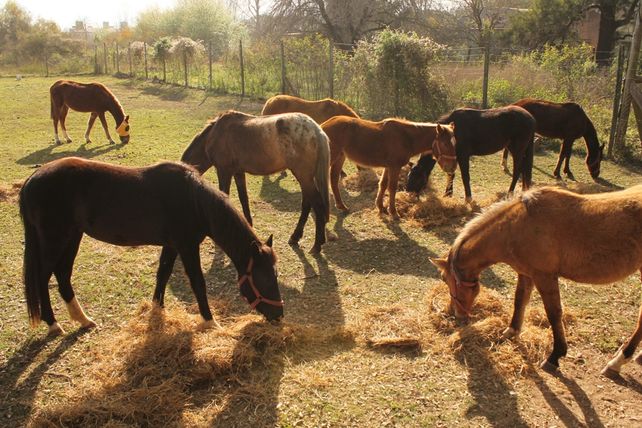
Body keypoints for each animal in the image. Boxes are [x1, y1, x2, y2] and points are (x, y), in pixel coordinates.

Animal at [20, 157, 282, 336]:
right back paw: (53, 324)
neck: (194, 201)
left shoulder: (172, 245)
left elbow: (162, 274)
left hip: (73, 236)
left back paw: (83, 319)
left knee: (62, 275)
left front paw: (157, 310)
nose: (279, 315)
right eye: (265, 279)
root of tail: (32, 181)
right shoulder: (187, 247)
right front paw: (210, 322)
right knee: (43, 277)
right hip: (56, 239)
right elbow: (198, 283)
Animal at [181, 110, 331, 253]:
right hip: (306, 178)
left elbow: (224, 196)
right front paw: (249, 224)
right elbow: (243, 198)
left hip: (304, 177)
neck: (214, 135)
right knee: (307, 204)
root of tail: (316, 130)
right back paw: (296, 237)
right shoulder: (238, 172)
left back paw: (317, 245)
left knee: (317, 205)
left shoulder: (224, 171)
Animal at [321, 116, 458, 219]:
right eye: (445, 144)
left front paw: (381, 207)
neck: (406, 137)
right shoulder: (394, 167)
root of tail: (322, 126)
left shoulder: (388, 167)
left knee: (334, 180)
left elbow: (383, 184)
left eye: (455, 143)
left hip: (340, 157)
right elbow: (392, 188)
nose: (452, 168)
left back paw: (342, 206)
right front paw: (394, 212)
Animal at [406, 106, 535, 201]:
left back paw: (510, 193)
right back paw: (524, 190)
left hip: (517, 150)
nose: (408, 194)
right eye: (409, 176)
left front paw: (468, 198)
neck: (451, 133)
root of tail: (531, 118)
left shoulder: (463, 155)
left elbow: (465, 176)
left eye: (417, 177)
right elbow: (451, 174)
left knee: (517, 170)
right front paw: (448, 194)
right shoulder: (453, 157)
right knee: (524, 169)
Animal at [430, 185, 642, 377]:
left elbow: (554, 314)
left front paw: (555, 356)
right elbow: (519, 301)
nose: (457, 314)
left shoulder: (544, 277)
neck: (517, 226)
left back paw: (618, 361)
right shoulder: (526, 273)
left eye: (445, 279)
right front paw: (511, 331)